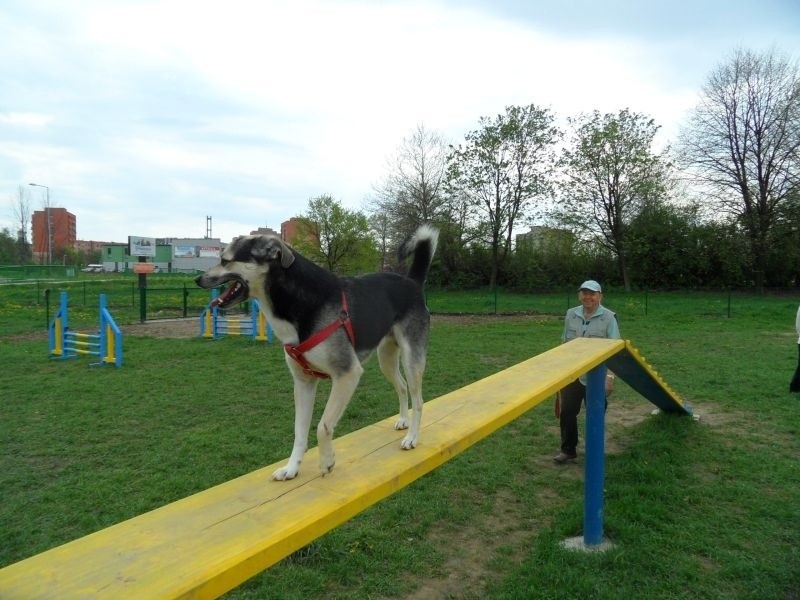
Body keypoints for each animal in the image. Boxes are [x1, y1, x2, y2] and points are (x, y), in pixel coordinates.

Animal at [197, 227, 440, 480]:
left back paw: (412, 438)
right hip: (387, 359)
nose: (197, 279)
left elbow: (323, 426)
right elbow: (300, 431)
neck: (299, 299)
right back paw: (403, 420)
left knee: (418, 399)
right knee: (402, 387)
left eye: (225, 260)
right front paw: (292, 468)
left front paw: (326, 462)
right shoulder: (303, 382)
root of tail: (412, 282)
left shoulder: (347, 374)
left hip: (412, 358)